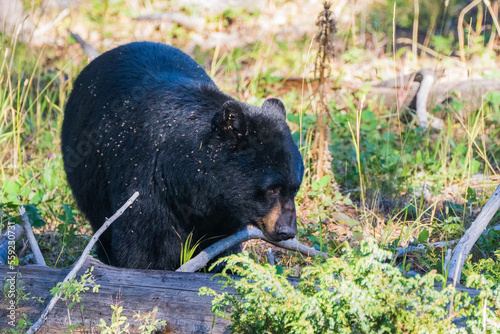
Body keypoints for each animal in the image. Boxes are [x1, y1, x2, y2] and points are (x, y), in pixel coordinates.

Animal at [62, 42, 304, 272]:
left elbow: (220, 246)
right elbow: (143, 243)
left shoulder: (220, 210)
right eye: (272, 188)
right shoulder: (148, 177)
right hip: (88, 173)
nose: (287, 231)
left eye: (294, 187)